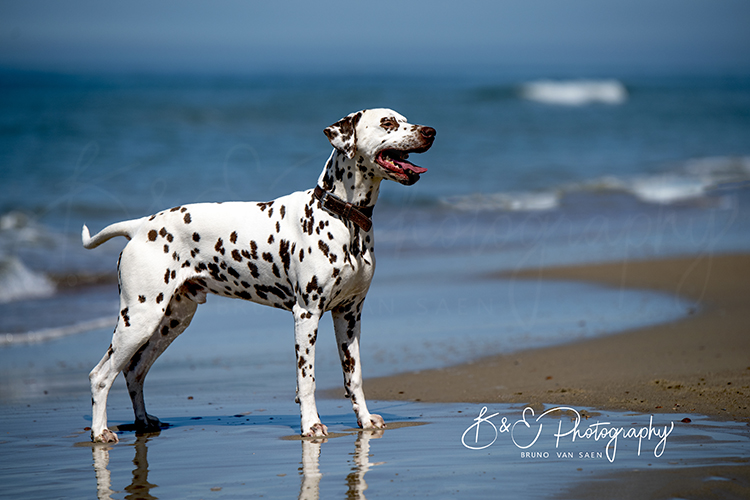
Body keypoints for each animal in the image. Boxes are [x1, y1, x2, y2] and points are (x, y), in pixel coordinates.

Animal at [82, 106, 438, 442]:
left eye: (405, 119)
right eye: (388, 123)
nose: (430, 131)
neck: (342, 216)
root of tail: (141, 226)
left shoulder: (349, 315)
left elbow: (355, 377)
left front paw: (364, 421)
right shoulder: (306, 314)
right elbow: (306, 380)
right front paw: (311, 425)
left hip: (172, 321)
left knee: (134, 371)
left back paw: (143, 422)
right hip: (140, 319)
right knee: (101, 375)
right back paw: (100, 432)